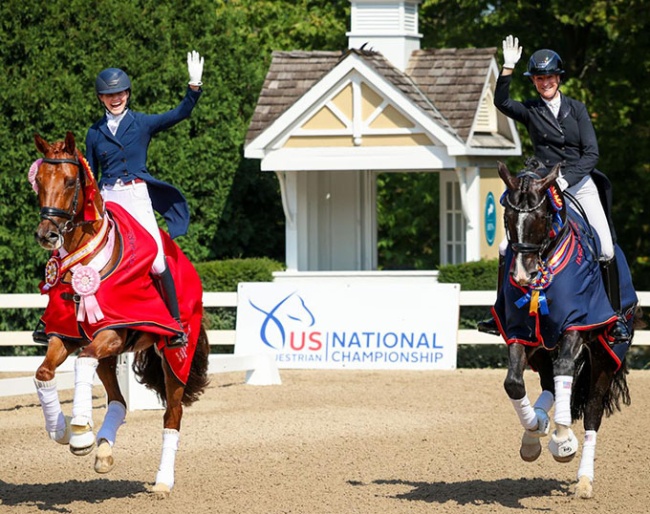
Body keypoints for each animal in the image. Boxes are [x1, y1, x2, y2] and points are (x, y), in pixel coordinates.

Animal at [30, 131, 208, 492]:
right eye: (38, 181)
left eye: (70, 181)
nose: (46, 234)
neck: (85, 260)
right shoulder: (66, 335)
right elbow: (44, 372)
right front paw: (60, 429)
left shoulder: (111, 333)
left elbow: (82, 360)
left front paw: (80, 431)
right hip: (111, 359)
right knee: (120, 402)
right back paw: (103, 452)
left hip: (172, 358)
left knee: (172, 415)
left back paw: (162, 481)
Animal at [492, 159, 636, 496]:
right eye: (507, 217)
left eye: (542, 216)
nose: (524, 276)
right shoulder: (521, 332)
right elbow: (514, 383)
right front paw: (537, 428)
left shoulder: (576, 324)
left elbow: (566, 371)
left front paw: (563, 441)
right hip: (543, 349)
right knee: (549, 385)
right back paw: (536, 431)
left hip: (605, 356)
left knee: (592, 411)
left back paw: (584, 479)